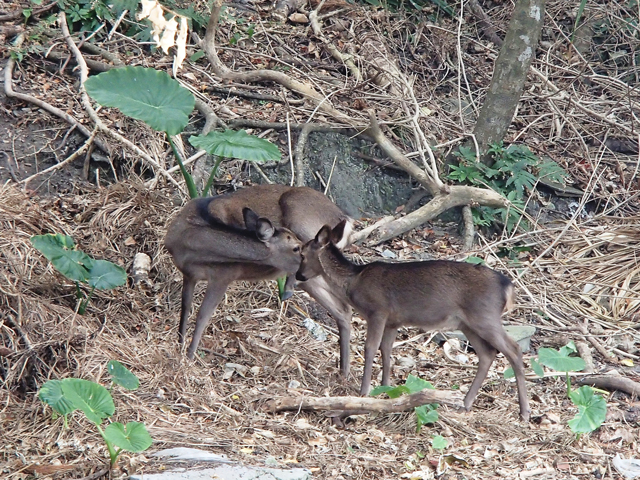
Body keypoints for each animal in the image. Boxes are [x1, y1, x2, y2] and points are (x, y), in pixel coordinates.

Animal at [164, 185, 356, 376]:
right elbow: (185, 309)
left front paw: (189, 359)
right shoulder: (188, 274)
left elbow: (202, 316)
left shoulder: (224, 276)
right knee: (342, 311)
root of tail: (346, 222)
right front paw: (180, 347)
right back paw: (343, 373)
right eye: (296, 248)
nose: (307, 258)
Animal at [298, 220, 532, 420]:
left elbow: (370, 347)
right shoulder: (393, 321)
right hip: (468, 323)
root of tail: (508, 288)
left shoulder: (378, 310)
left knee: (513, 349)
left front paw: (364, 392)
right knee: (487, 354)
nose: (299, 276)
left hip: (485, 316)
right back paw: (465, 403)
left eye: (301, 253)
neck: (353, 283)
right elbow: (386, 350)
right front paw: (386, 389)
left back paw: (524, 412)